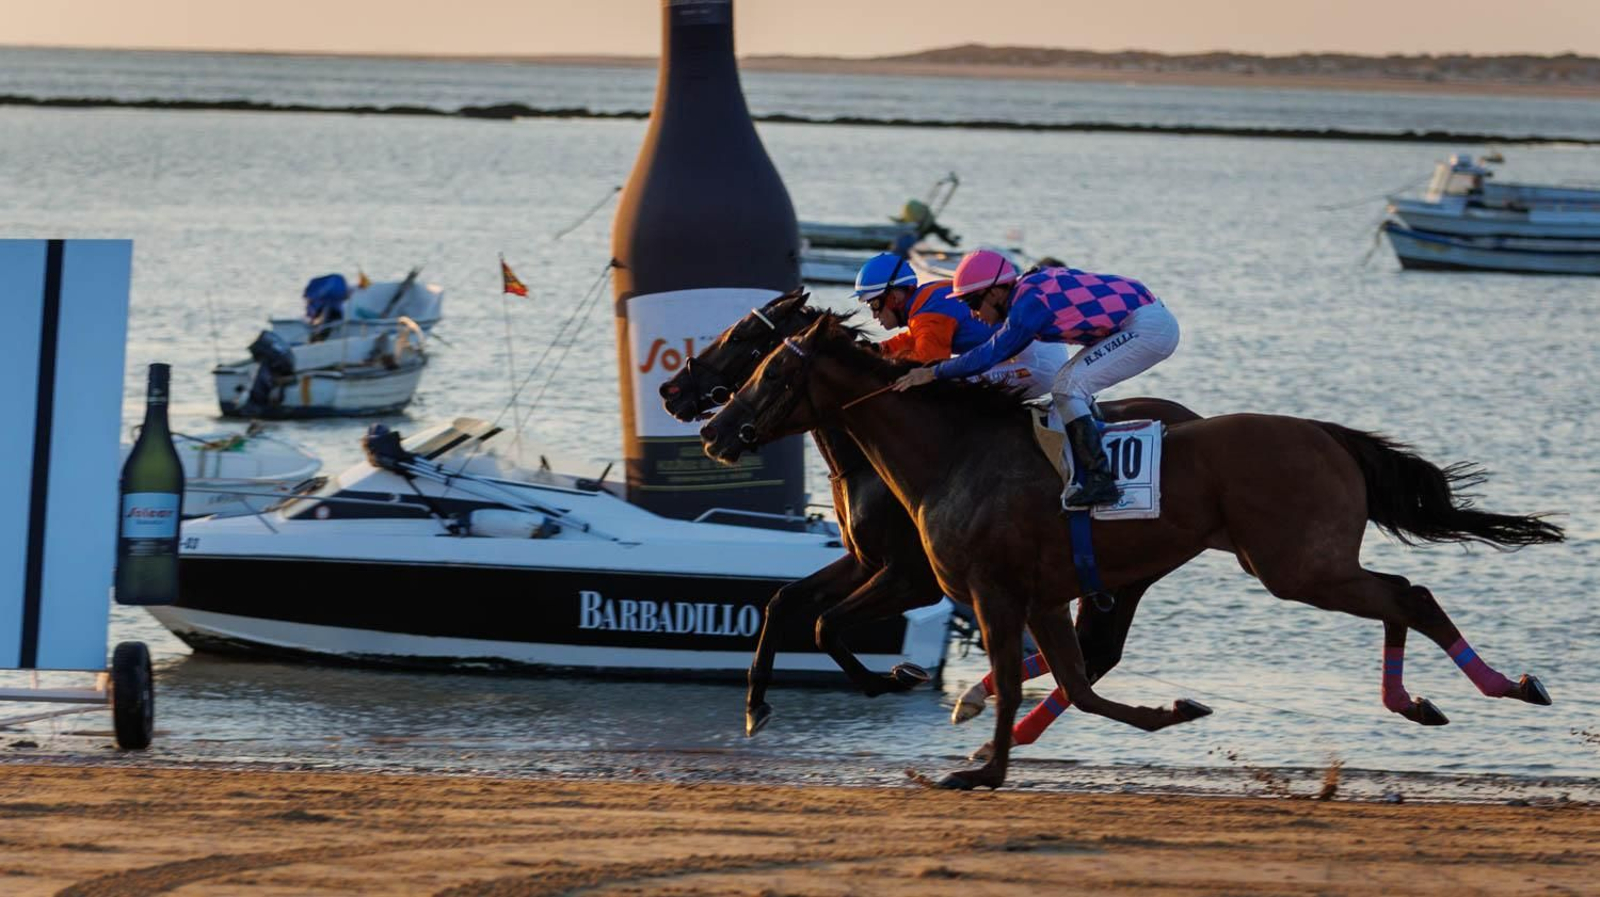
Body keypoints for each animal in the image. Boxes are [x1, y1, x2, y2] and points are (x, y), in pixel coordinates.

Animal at [659, 290, 1203, 743]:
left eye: (742, 338)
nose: (672, 393)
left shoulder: (912, 577)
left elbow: (824, 625)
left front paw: (897, 676)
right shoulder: (866, 561)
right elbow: (783, 602)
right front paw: (756, 707)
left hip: (1127, 569)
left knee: (1093, 655)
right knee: (1090, 656)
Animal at [700, 313, 1562, 790]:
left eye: (766, 368)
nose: (711, 429)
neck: (952, 452)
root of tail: (1328, 435)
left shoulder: (979, 588)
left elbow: (1024, 679)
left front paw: (980, 765)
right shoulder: (1037, 593)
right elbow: (1078, 685)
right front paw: (1173, 709)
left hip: (1298, 565)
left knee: (1408, 593)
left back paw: (1503, 686)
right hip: (1277, 564)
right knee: (1397, 596)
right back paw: (1421, 699)